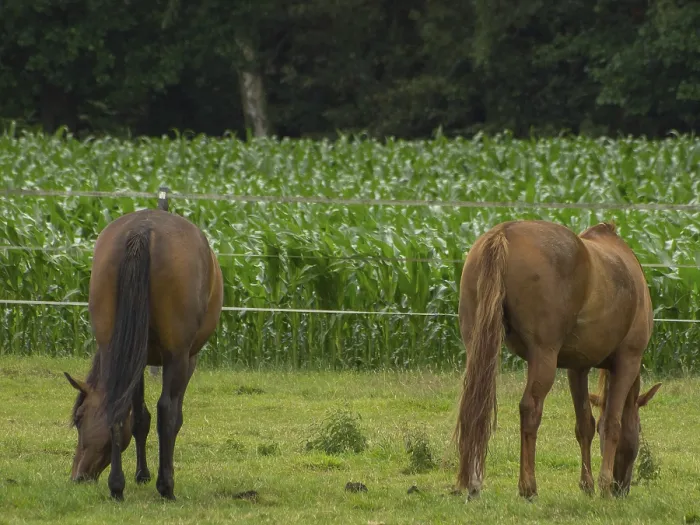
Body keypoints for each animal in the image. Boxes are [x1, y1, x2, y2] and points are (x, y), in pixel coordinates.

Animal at [63, 208, 224, 501]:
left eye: (79, 419)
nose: (78, 477)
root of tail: (141, 230)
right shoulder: (187, 360)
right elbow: (171, 417)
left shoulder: (134, 361)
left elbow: (138, 418)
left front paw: (141, 474)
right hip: (176, 356)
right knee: (167, 411)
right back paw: (166, 487)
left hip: (116, 345)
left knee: (118, 408)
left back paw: (117, 486)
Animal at [453, 219, 661, 501]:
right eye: (638, 431)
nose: (622, 488)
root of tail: (504, 232)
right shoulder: (627, 361)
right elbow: (612, 423)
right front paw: (604, 485)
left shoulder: (577, 368)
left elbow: (585, 424)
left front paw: (587, 485)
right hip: (544, 356)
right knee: (530, 409)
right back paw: (528, 486)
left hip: (478, 347)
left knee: (476, 405)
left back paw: (474, 484)